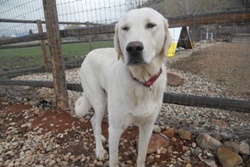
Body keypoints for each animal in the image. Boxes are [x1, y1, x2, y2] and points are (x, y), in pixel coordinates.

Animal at [74, 7, 172, 166]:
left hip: (106, 102)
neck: (141, 81)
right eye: (125, 28)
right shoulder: (115, 129)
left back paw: (101, 138)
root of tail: (88, 54)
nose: (133, 48)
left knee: (94, 121)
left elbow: (141, 156)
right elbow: (114, 160)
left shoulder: (147, 127)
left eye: (151, 25)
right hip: (99, 101)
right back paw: (99, 150)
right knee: (95, 121)